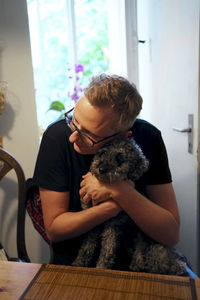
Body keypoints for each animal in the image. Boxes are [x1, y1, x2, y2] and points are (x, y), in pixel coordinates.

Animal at [72, 137, 188, 276]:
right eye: (103, 152)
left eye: (120, 159)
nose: (101, 169)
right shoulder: (92, 222)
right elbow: (87, 245)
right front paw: (79, 262)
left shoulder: (113, 226)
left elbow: (107, 250)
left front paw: (101, 267)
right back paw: (136, 264)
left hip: (155, 248)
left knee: (163, 261)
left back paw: (176, 267)